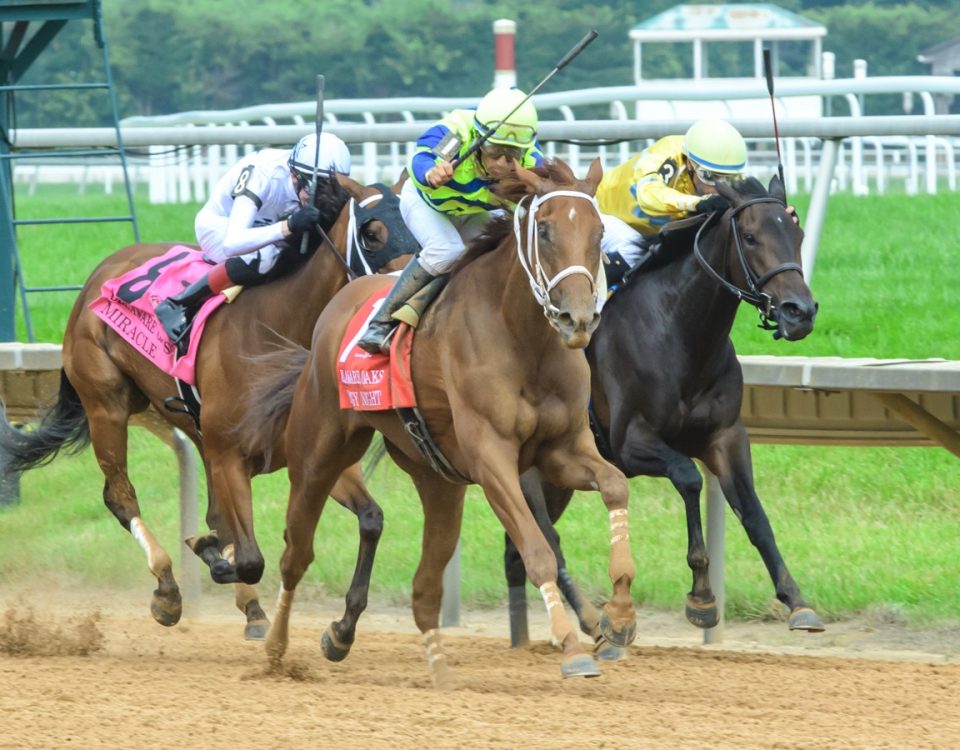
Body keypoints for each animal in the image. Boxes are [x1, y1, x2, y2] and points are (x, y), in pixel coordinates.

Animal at [0, 173, 420, 636]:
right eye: (372, 233)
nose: (398, 296)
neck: (275, 331)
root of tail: (102, 270)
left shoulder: (308, 455)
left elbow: (370, 519)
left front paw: (340, 625)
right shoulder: (229, 456)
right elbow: (249, 557)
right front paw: (210, 556)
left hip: (191, 430)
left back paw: (247, 605)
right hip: (106, 404)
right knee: (120, 496)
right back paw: (168, 588)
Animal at [234, 159, 636, 688]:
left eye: (598, 232)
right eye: (545, 230)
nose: (578, 319)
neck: (522, 337)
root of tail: (340, 303)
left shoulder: (562, 449)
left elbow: (614, 485)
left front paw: (620, 616)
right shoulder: (492, 458)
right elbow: (536, 548)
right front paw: (573, 648)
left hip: (437, 479)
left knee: (425, 588)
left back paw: (422, 666)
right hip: (318, 455)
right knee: (294, 556)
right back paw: (278, 650)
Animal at [502, 176, 824, 656]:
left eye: (798, 233)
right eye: (750, 236)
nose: (799, 312)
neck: (679, 335)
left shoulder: (726, 436)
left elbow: (754, 513)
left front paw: (796, 601)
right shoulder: (630, 444)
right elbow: (689, 477)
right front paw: (702, 598)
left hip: (554, 478)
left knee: (517, 549)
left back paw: (525, 638)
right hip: (528, 469)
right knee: (546, 544)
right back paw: (598, 625)